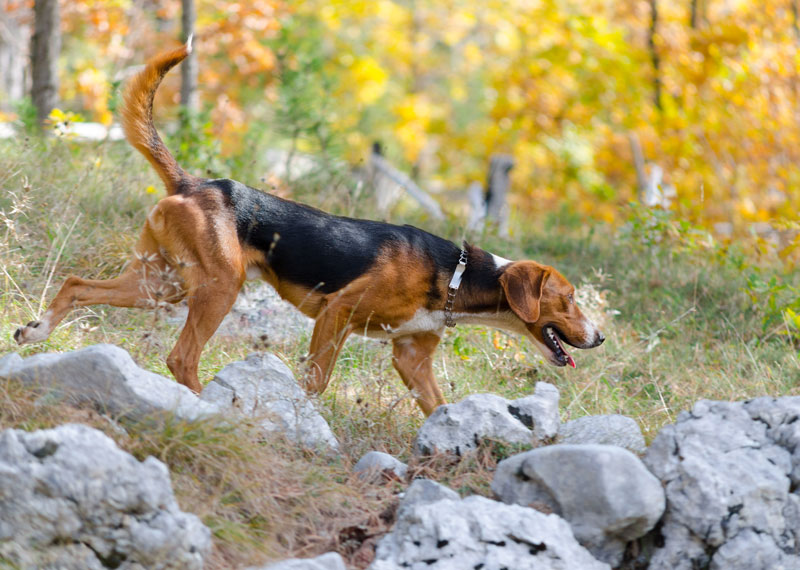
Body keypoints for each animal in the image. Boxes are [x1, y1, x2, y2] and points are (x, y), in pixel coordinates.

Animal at [12, 38, 604, 412]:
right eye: (570, 298)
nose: (599, 337)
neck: (455, 275)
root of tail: (193, 182)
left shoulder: (412, 360)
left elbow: (437, 407)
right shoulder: (336, 315)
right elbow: (316, 382)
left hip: (161, 282)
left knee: (77, 284)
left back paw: (35, 330)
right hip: (217, 286)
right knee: (181, 357)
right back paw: (205, 401)